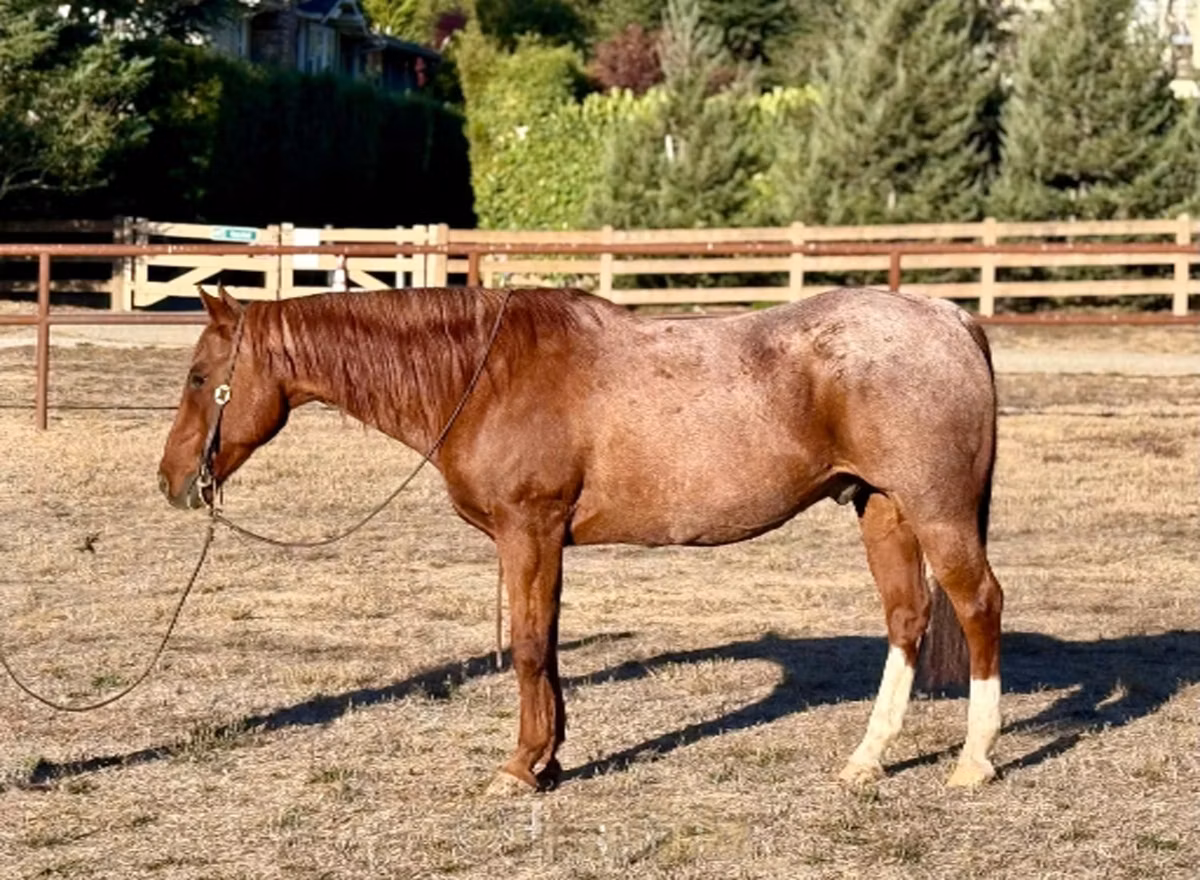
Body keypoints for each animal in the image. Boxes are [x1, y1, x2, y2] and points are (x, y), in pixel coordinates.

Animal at [158, 284, 1004, 793]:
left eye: (199, 377)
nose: (171, 480)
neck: (487, 375)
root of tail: (950, 317)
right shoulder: (544, 543)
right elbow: (551, 646)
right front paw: (551, 757)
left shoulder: (527, 532)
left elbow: (531, 648)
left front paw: (519, 769)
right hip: (883, 509)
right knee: (907, 619)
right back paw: (867, 759)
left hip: (937, 512)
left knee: (978, 606)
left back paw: (972, 762)